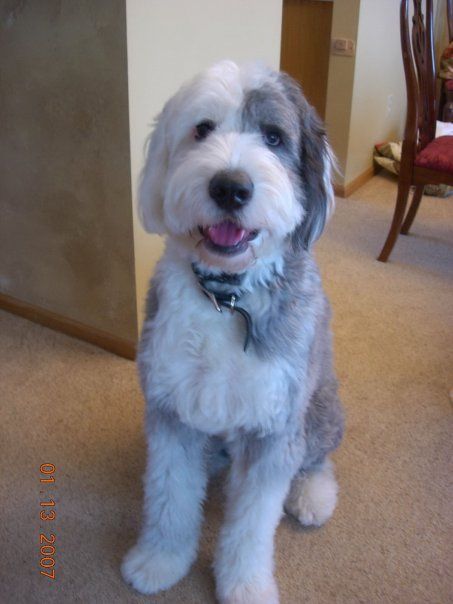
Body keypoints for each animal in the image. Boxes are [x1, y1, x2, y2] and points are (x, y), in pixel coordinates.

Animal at [120, 57, 342, 604]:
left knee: (316, 458)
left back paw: (313, 496)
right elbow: (170, 495)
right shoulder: (171, 409)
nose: (230, 187)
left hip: (319, 407)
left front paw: (245, 585)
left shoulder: (273, 425)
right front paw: (160, 561)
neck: (227, 298)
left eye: (275, 137)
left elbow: (251, 524)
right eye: (203, 129)